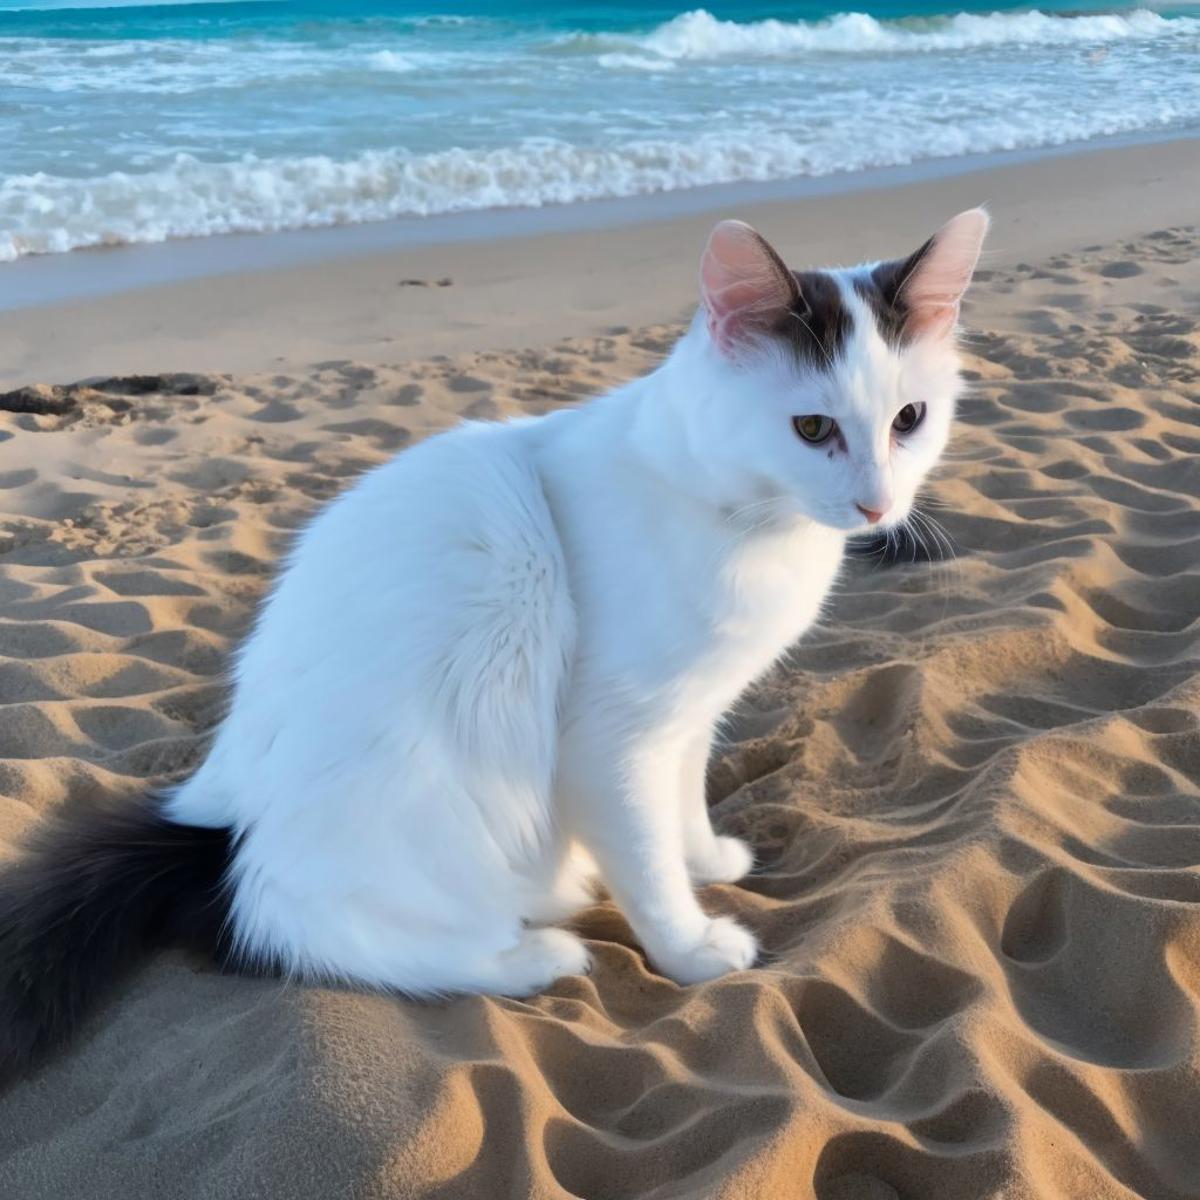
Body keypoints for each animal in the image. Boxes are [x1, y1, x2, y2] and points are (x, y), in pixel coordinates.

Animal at [0, 204, 984, 1070]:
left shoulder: (688, 713)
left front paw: (704, 858)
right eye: (813, 428)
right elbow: (646, 858)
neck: (748, 525)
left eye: (909, 421)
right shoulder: (612, 737)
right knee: (320, 937)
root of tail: (218, 822)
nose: (877, 506)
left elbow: (682, 803)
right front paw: (690, 946)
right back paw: (533, 956)